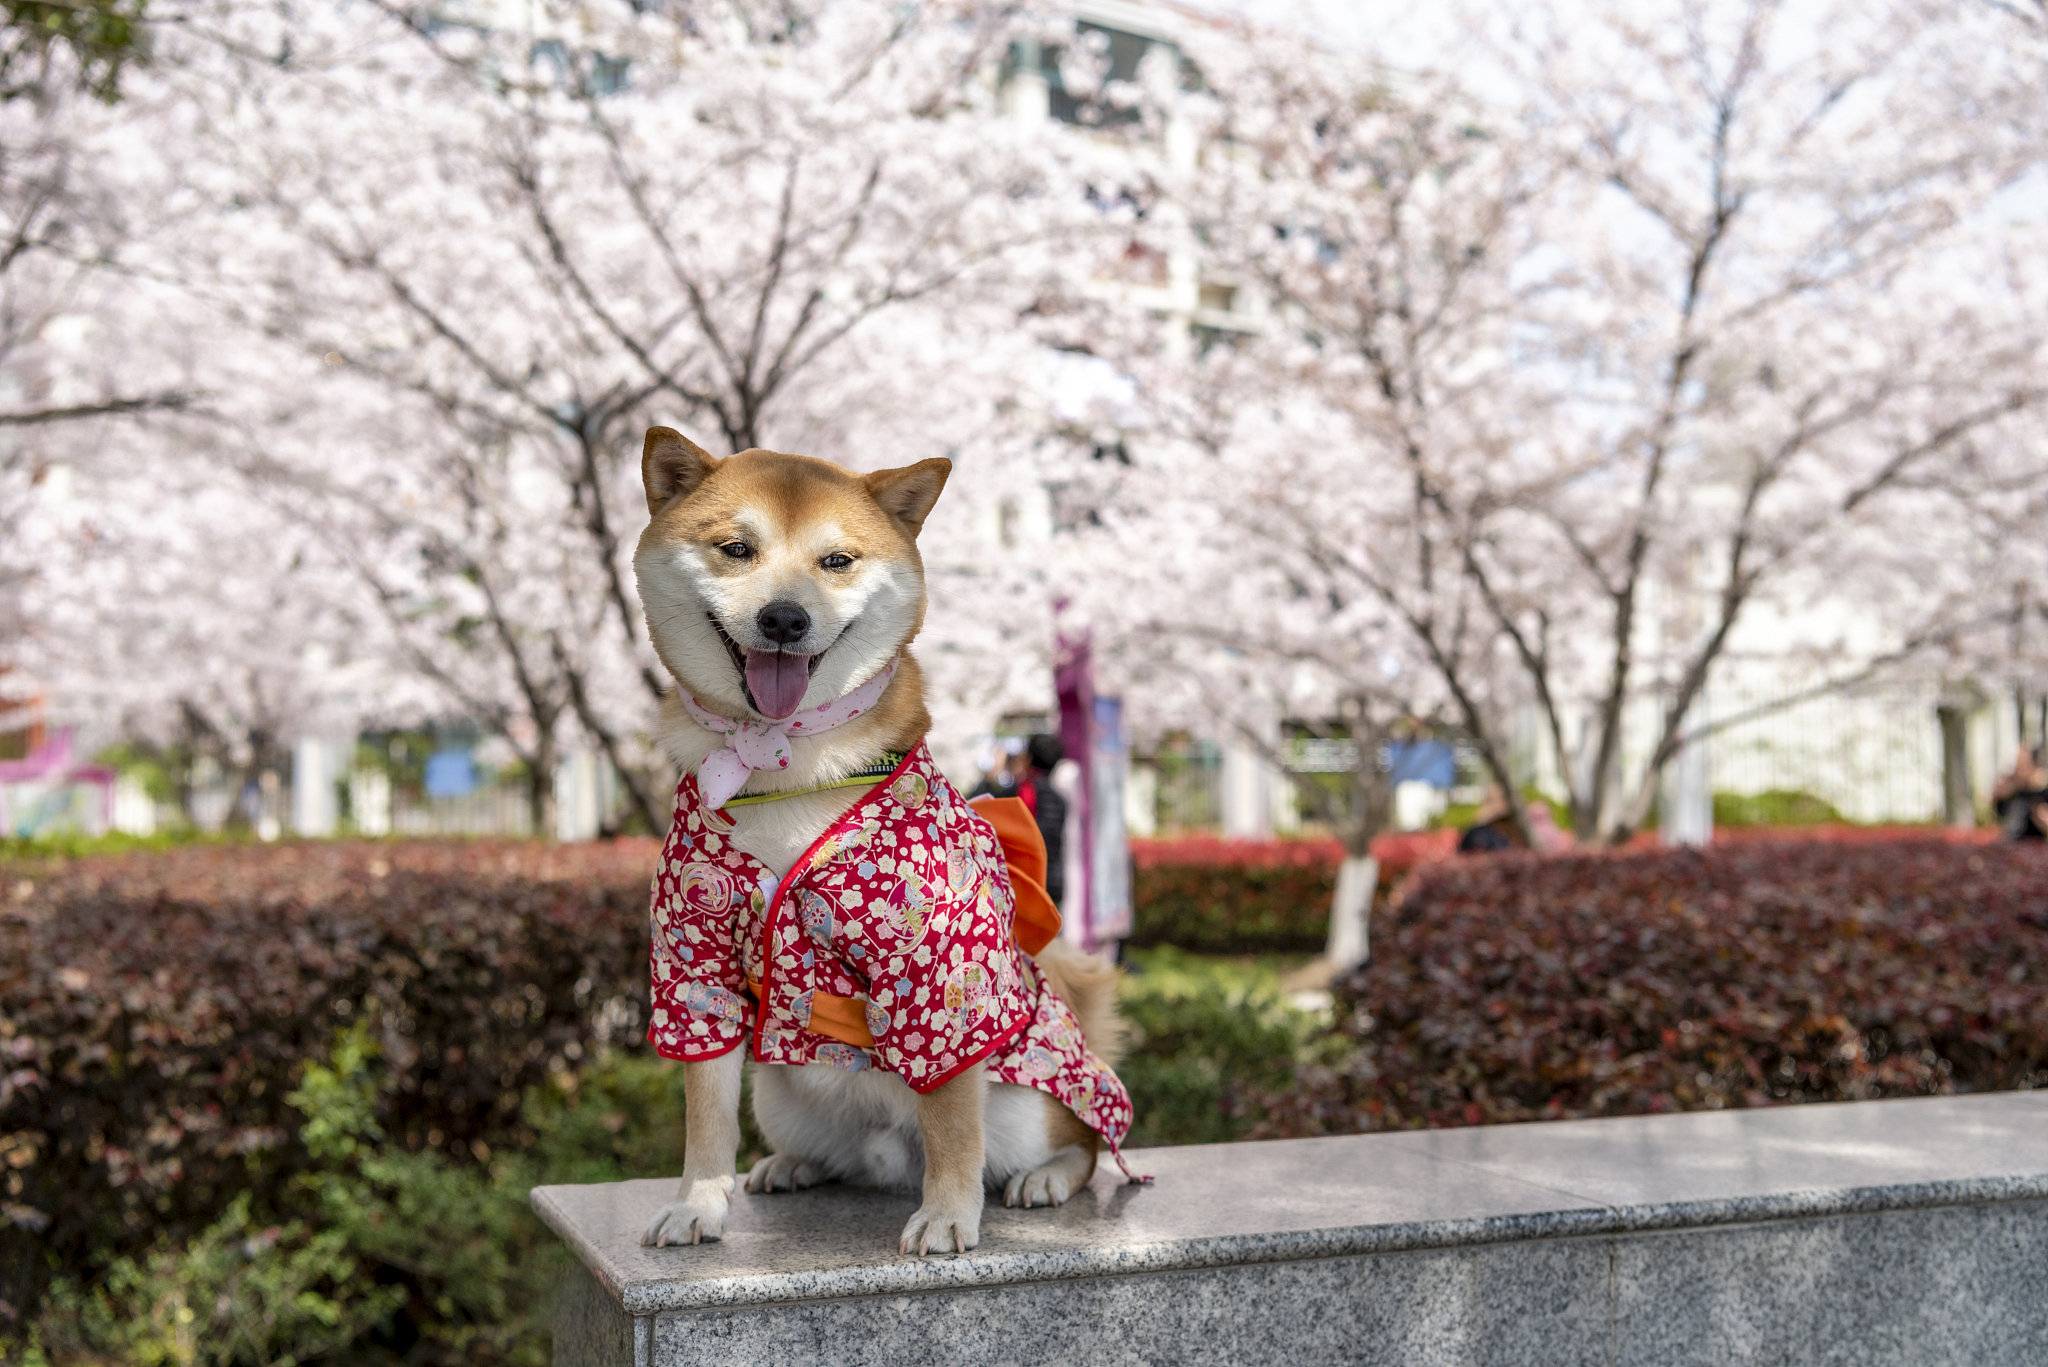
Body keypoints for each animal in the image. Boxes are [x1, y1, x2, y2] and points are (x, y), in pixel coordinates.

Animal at [630, 432, 1130, 1254]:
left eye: (837, 560)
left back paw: (1046, 1177)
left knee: (1085, 1141)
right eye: (737, 549)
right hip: (779, 1094)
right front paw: (698, 1202)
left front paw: (950, 1214)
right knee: (837, 1157)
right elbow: (705, 1110)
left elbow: (954, 1118)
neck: (782, 763)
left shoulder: (942, 970)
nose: (785, 619)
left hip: (1024, 1103)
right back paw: (790, 1166)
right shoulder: (693, 958)